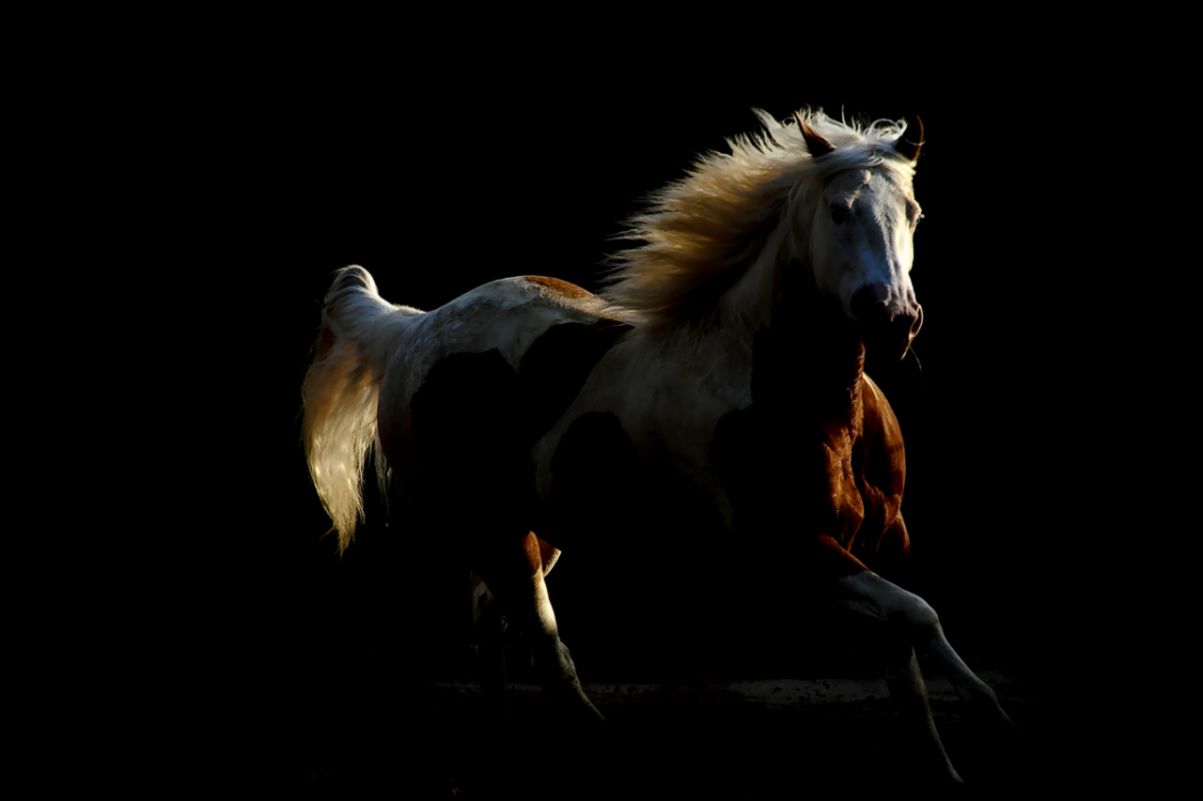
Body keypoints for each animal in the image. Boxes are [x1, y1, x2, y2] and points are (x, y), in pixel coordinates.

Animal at [302, 108, 1010, 782]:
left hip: (534, 531)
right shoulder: (794, 549)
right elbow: (918, 616)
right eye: (839, 210)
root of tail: (414, 328)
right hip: (494, 532)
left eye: (914, 213)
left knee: (495, 627)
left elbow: (906, 666)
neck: (802, 395)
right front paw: (990, 711)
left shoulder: (882, 544)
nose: (894, 318)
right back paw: (601, 741)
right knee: (545, 646)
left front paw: (945, 767)